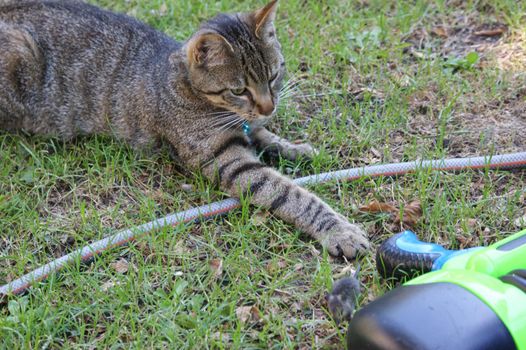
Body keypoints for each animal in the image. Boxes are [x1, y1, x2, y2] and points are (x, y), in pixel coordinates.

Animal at [0, 0, 372, 258]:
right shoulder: (227, 160)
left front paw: (297, 148)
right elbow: (291, 194)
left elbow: (265, 135)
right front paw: (339, 231)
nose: (270, 107)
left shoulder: (246, 127)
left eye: (273, 76)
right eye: (239, 89)